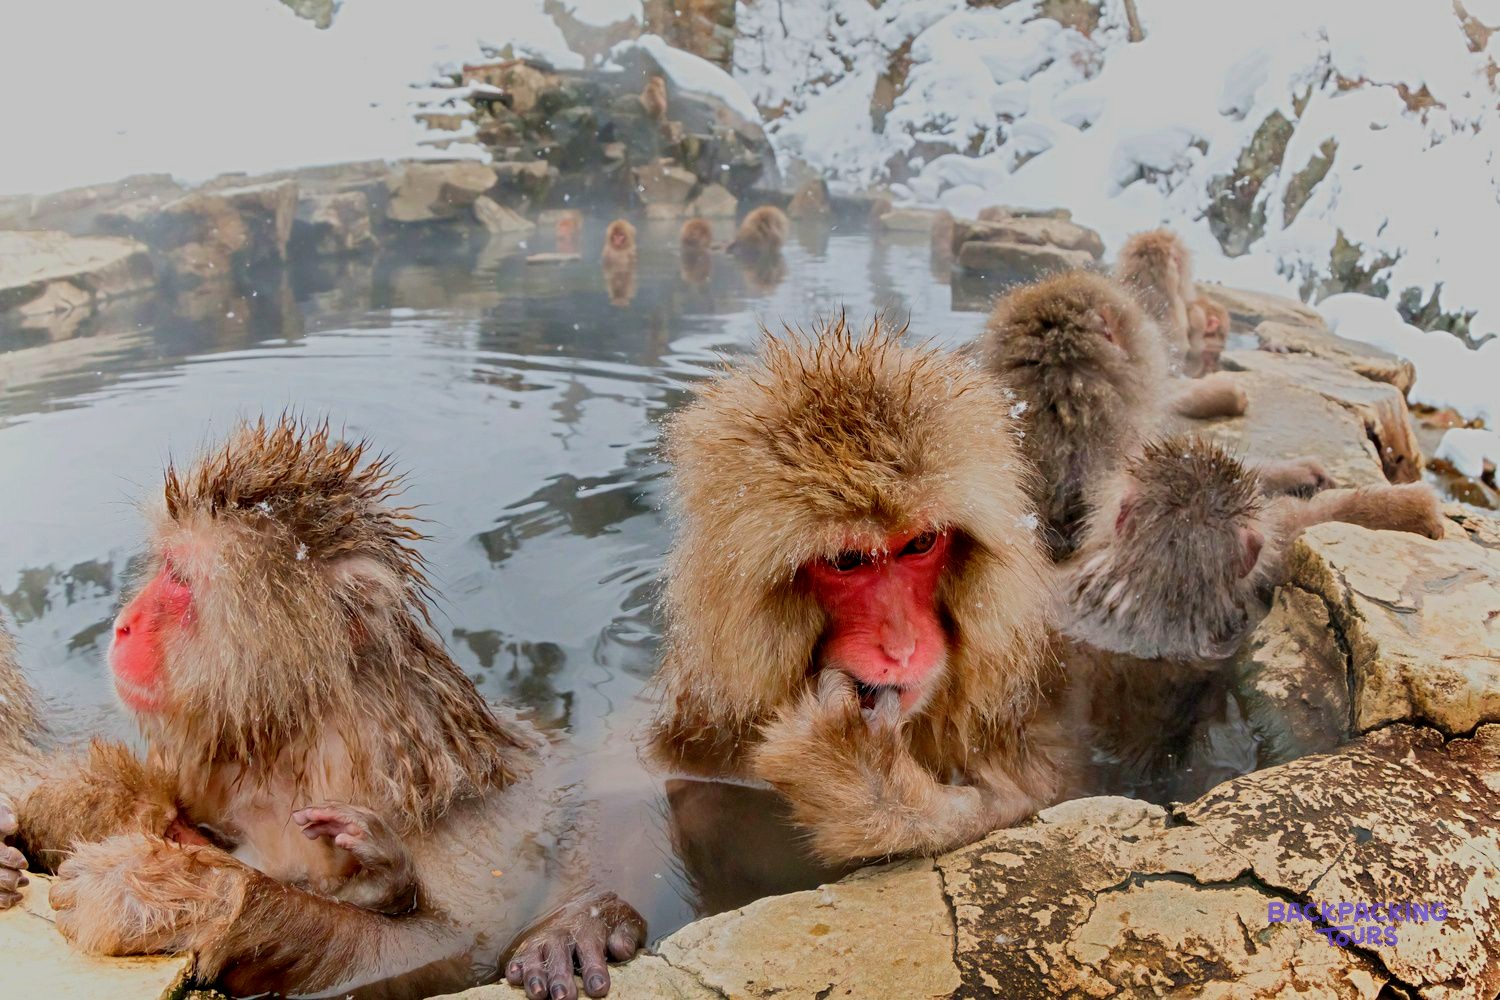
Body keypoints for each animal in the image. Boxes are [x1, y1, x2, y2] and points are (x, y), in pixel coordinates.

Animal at [9, 417, 644, 1000]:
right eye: (164, 564)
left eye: (182, 579)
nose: (124, 624)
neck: (301, 728)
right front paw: (90, 802)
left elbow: (455, 949)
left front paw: (173, 894)